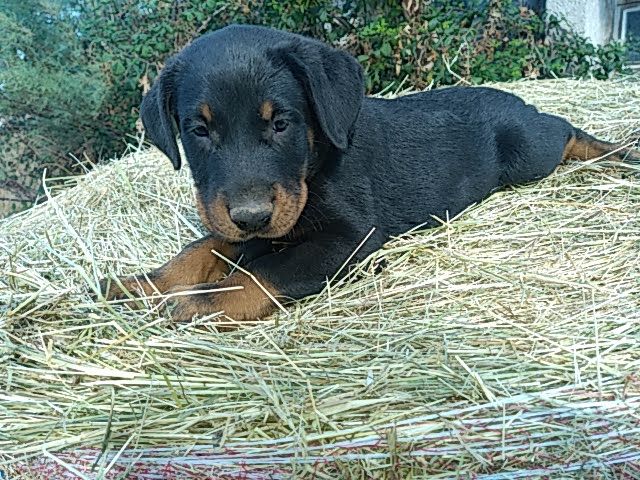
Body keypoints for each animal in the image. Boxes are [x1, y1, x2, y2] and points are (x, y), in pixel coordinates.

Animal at [100, 23, 636, 322]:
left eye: (281, 123)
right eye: (199, 130)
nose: (252, 218)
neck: (314, 165)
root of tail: (510, 96)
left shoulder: (350, 238)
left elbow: (263, 272)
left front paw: (200, 303)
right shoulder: (242, 219)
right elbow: (201, 247)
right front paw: (139, 285)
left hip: (528, 151)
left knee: (562, 130)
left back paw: (615, 151)